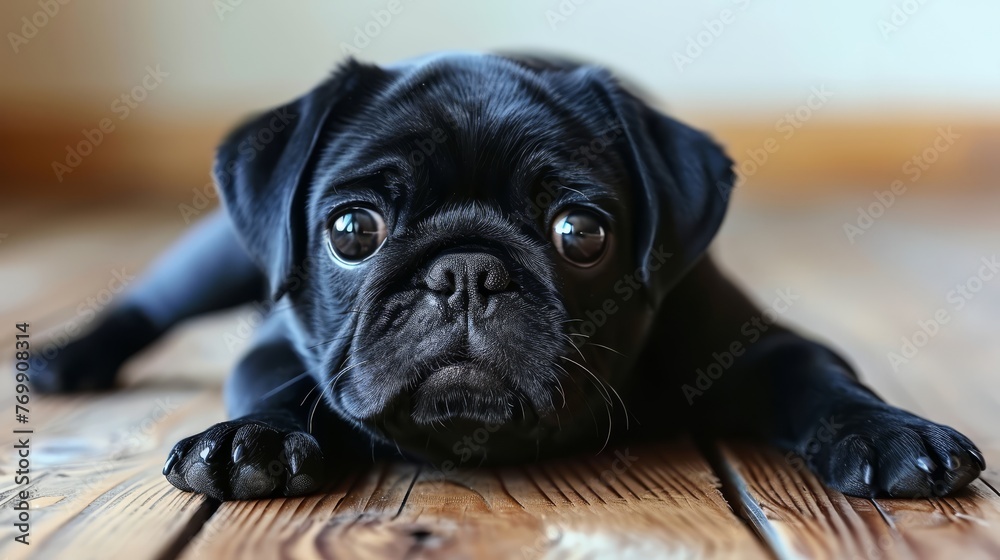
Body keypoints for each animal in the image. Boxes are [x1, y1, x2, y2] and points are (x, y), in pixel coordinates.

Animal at [33, 52, 984, 498]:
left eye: (581, 233)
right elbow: (275, 387)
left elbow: (818, 377)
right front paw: (250, 442)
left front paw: (894, 433)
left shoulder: (751, 343)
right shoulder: (280, 347)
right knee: (151, 302)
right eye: (352, 229)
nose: (466, 273)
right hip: (218, 256)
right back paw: (64, 359)